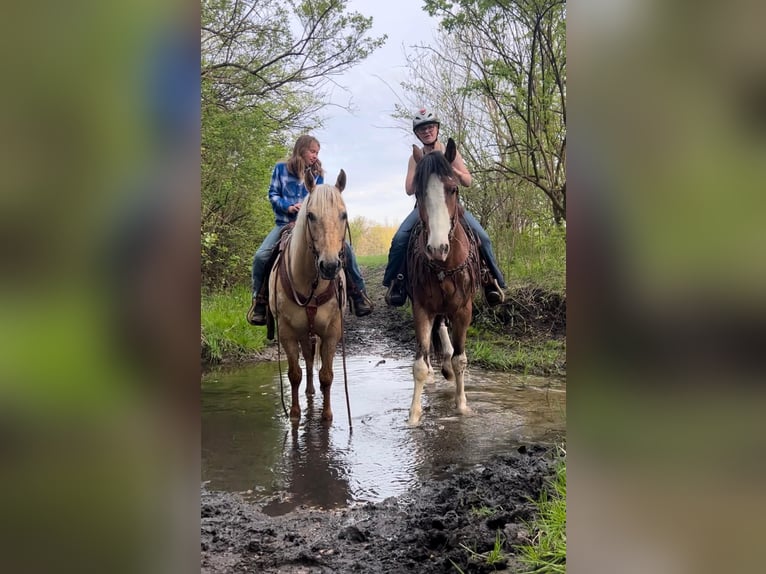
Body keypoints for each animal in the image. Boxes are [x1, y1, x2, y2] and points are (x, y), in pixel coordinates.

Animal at [268, 171, 350, 424]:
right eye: (311, 216)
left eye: (344, 214)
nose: (330, 266)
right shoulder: (287, 332)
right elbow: (294, 374)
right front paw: (295, 414)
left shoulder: (332, 331)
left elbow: (327, 374)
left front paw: (327, 415)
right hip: (304, 332)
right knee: (308, 357)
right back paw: (309, 392)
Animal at [408, 140, 480, 428]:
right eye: (418, 193)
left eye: (453, 189)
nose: (437, 249)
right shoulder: (421, 308)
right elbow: (419, 365)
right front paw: (413, 417)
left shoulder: (463, 310)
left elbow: (461, 360)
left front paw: (462, 407)